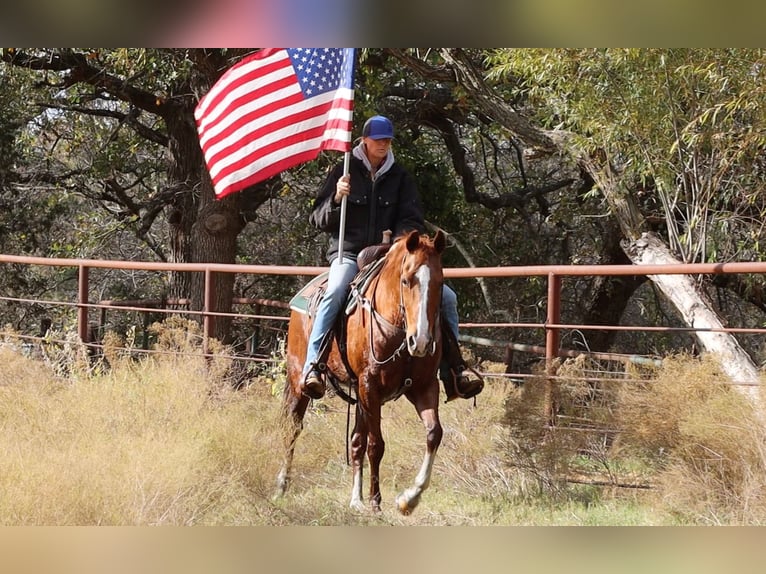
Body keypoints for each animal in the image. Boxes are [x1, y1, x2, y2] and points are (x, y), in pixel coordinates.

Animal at [276, 231, 448, 516]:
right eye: (406, 280)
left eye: (440, 282)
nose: (422, 341)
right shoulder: (371, 386)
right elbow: (376, 444)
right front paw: (376, 501)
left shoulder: (423, 387)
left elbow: (434, 434)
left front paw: (409, 498)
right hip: (298, 379)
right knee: (293, 428)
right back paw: (281, 485)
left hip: (360, 395)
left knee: (356, 441)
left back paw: (355, 499)